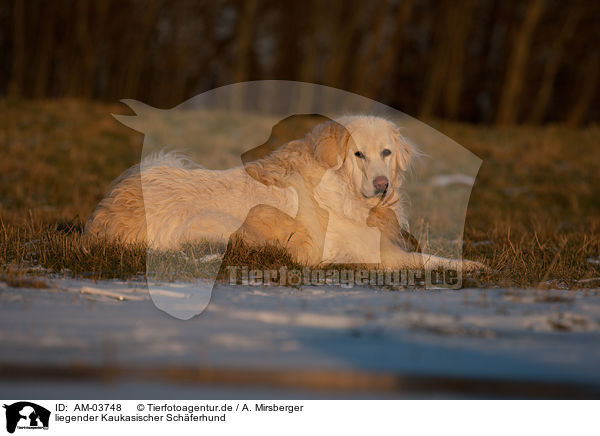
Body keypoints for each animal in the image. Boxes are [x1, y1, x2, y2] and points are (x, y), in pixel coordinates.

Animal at [85, 114, 482, 270]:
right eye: (358, 155)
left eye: (386, 152)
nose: (382, 185)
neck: (342, 188)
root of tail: (99, 220)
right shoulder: (375, 253)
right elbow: (427, 259)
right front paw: (470, 265)